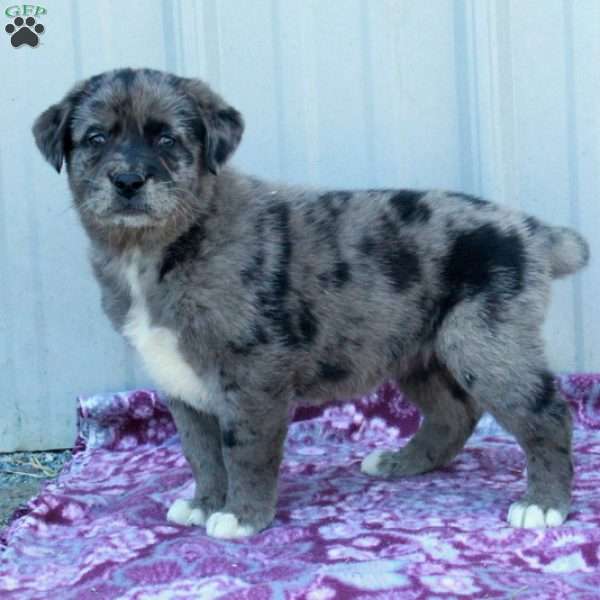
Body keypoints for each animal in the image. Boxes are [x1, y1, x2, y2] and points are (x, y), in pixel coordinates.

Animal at [30, 67, 588, 540]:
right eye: (96, 139)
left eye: (167, 139)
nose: (127, 181)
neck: (156, 247)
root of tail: (532, 229)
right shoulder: (180, 382)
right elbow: (201, 452)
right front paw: (205, 503)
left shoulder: (254, 373)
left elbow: (244, 449)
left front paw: (242, 516)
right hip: (420, 352)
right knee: (456, 413)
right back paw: (402, 463)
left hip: (486, 343)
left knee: (547, 413)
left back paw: (545, 505)